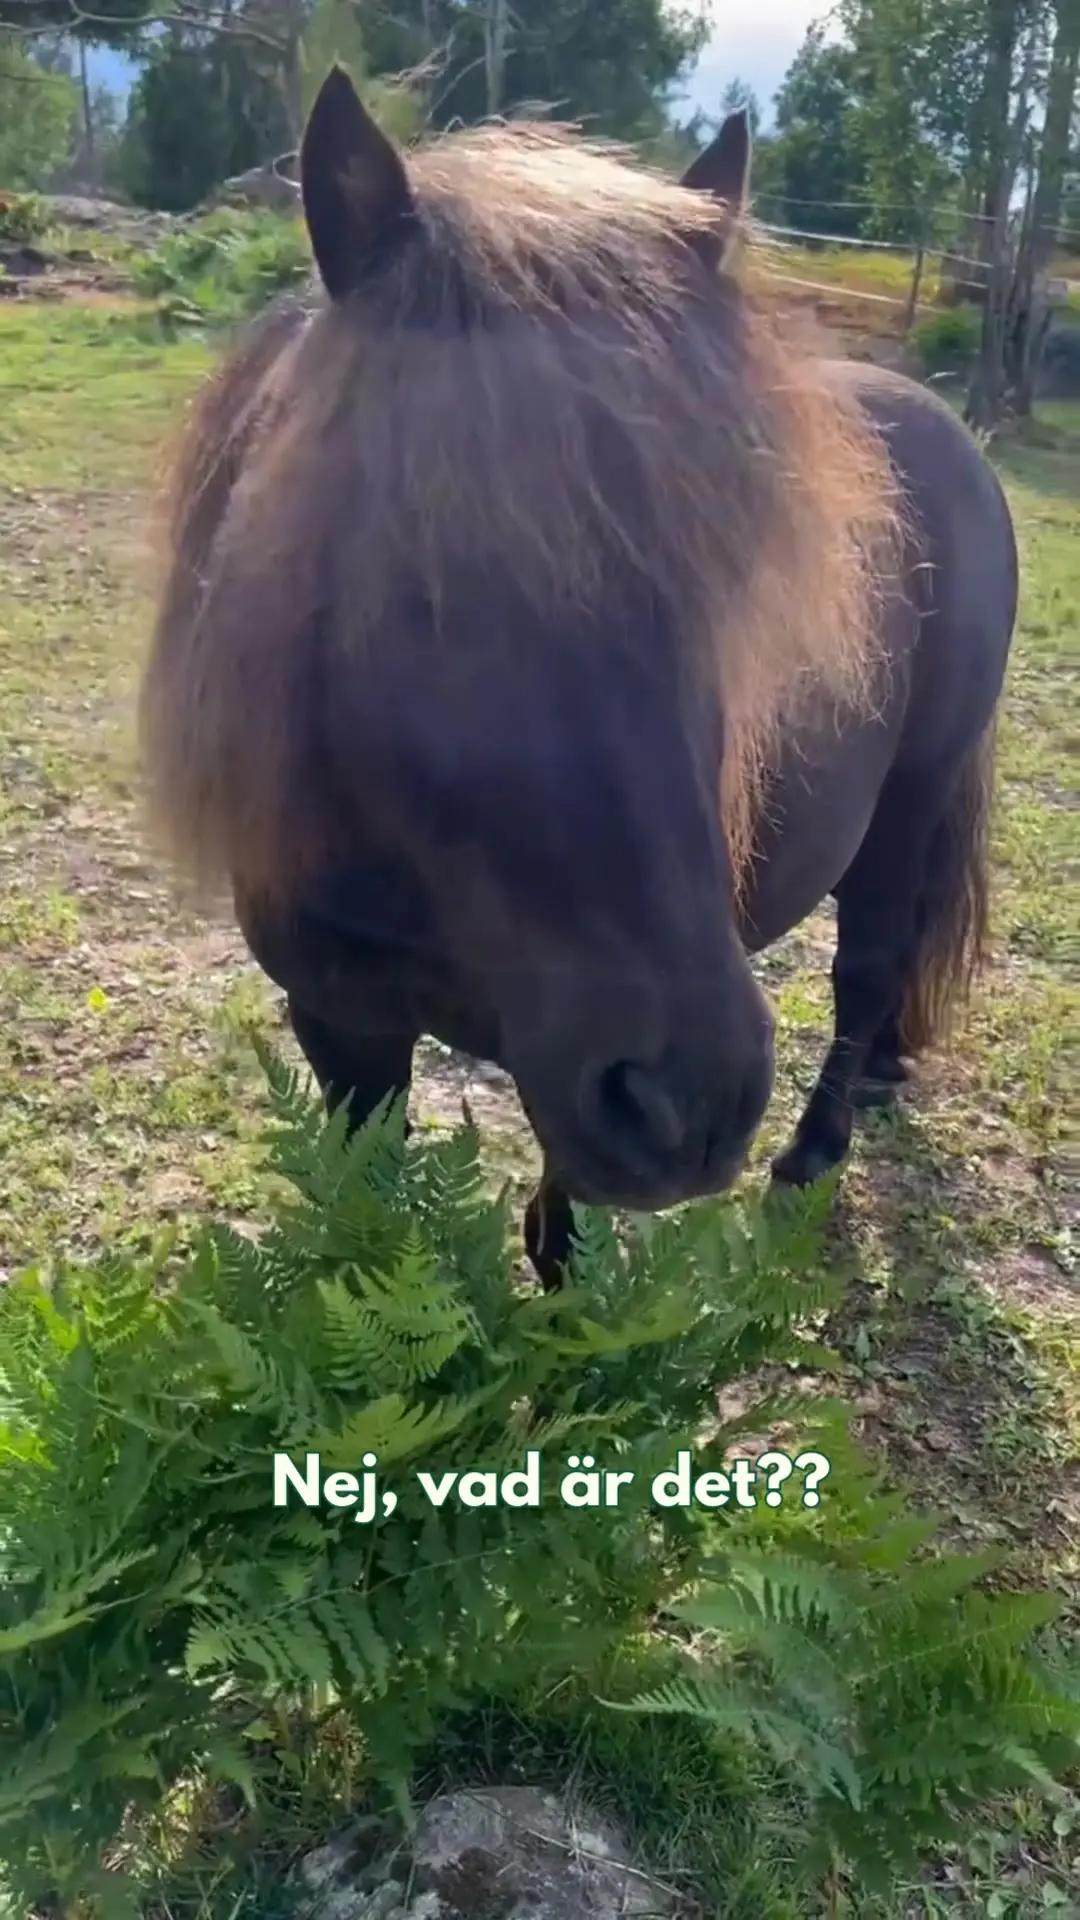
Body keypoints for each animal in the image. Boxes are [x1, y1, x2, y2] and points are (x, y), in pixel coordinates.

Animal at [140, 69, 1017, 1287]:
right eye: (414, 564)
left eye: (734, 577)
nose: (695, 1100)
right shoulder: (343, 1024)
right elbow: (373, 1209)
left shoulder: (578, 1071)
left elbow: (561, 1247)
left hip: (909, 804)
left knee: (870, 968)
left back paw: (813, 1157)